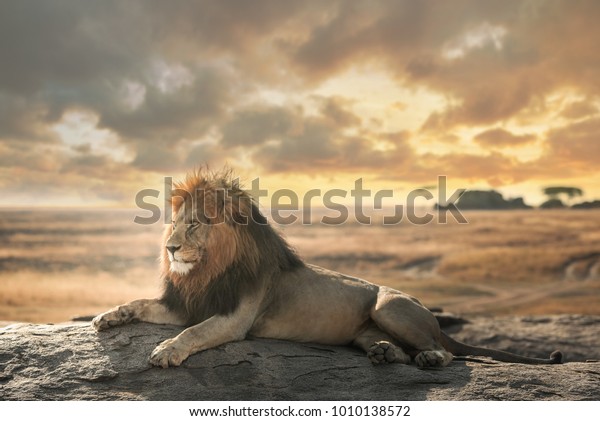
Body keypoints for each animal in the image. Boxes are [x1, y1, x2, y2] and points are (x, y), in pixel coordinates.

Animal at [91, 169, 560, 366]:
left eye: (196, 224)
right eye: (173, 224)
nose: (170, 249)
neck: (208, 269)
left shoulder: (232, 318)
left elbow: (194, 333)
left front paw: (166, 351)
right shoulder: (188, 304)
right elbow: (139, 302)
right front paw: (106, 316)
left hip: (389, 306)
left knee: (444, 350)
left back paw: (428, 356)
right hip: (369, 326)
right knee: (393, 347)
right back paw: (385, 353)